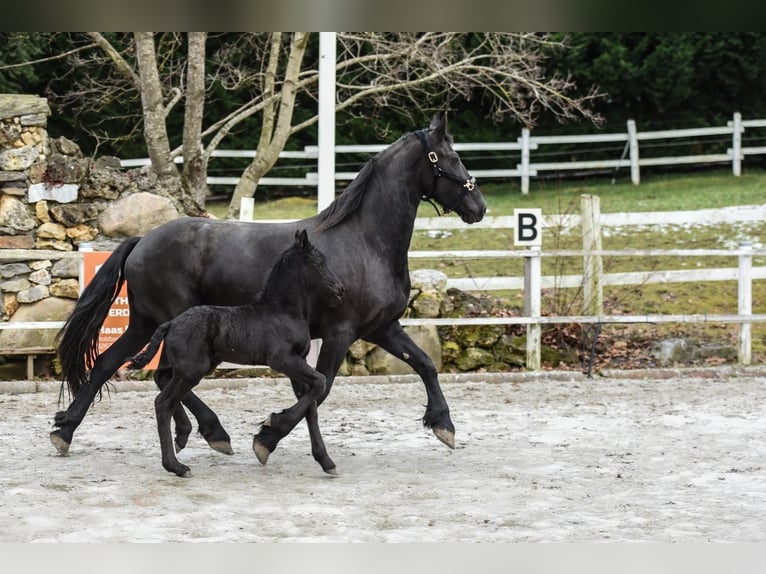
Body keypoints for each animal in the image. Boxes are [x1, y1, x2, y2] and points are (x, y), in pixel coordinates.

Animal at [126, 229, 344, 477]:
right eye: (318, 263)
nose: (340, 290)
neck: (283, 311)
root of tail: (170, 324)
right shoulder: (283, 360)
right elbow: (320, 382)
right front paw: (271, 425)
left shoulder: (298, 363)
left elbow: (312, 406)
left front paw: (325, 461)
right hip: (192, 371)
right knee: (163, 403)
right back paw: (177, 466)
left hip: (192, 370)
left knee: (166, 395)